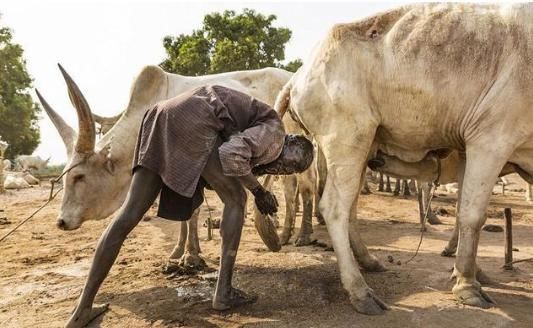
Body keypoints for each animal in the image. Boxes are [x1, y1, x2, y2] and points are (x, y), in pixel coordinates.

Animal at [270, 3, 532, 314]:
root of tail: (298, 76)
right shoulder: (490, 139)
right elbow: (472, 215)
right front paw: (468, 286)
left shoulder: (468, 149)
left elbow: (461, 211)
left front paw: (467, 272)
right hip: (347, 137)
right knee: (334, 207)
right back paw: (360, 291)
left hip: (363, 147)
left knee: (350, 208)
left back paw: (369, 262)